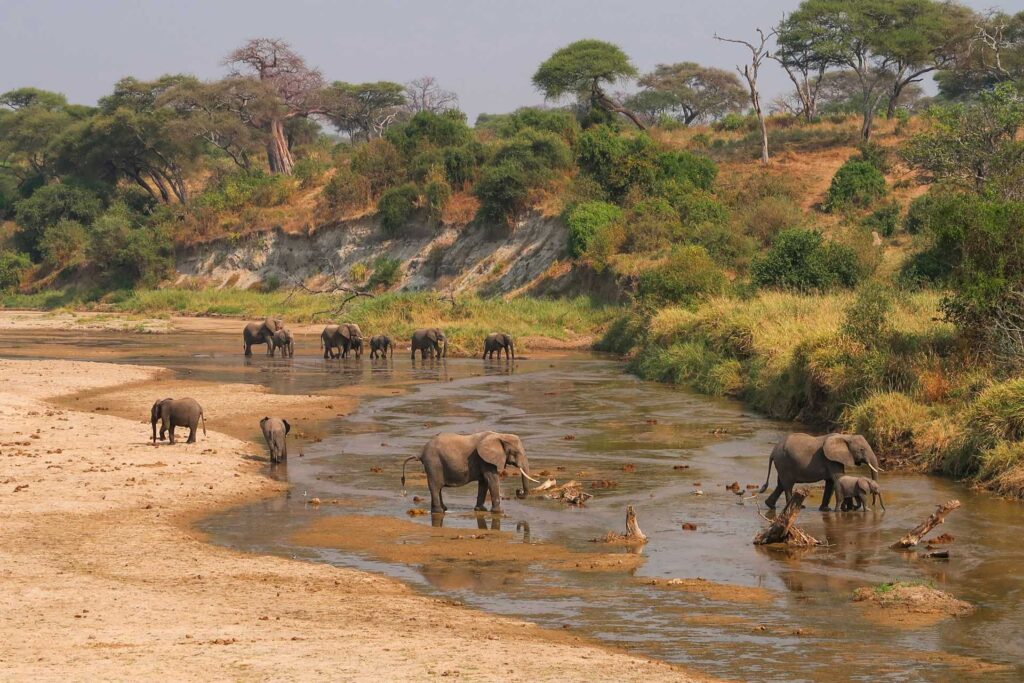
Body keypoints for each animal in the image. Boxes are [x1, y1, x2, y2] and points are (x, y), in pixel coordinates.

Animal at [401, 431, 539, 514]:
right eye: (516, 452)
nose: (518, 491)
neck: (499, 435)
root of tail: (421, 453)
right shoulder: (486, 460)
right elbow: (492, 480)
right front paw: (499, 512)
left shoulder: (484, 461)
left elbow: (484, 482)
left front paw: (481, 509)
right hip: (433, 463)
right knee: (435, 486)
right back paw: (439, 511)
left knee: (438, 487)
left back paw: (444, 509)